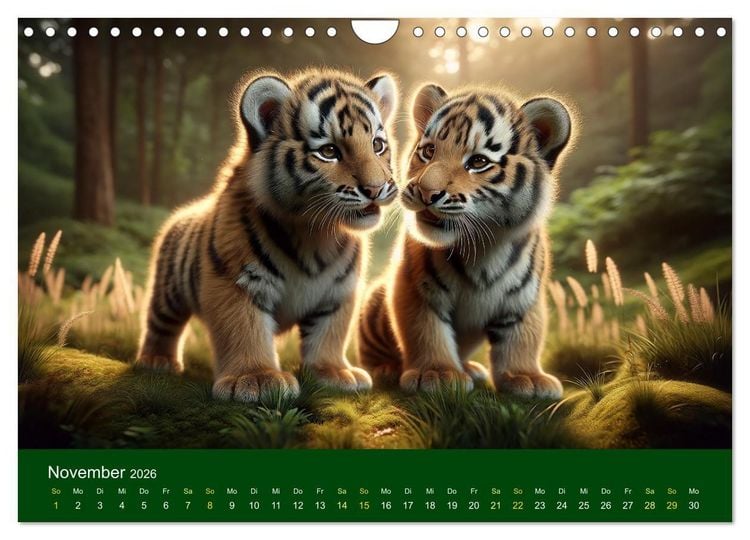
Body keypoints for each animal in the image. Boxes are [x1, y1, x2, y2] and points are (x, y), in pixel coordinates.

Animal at [135, 69, 399, 402]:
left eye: (378, 145)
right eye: (329, 152)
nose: (376, 189)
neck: (316, 232)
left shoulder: (340, 291)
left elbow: (329, 333)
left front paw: (335, 372)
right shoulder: (236, 282)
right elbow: (244, 330)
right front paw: (256, 378)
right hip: (168, 292)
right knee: (161, 323)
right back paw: (157, 361)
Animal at [359, 83, 571, 399]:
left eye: (478, 162)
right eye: (429, 151)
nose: (426, 192)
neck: (482, 247)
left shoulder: (524, 299)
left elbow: (523, 338)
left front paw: (528, 378)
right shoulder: (417, 289)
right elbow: (426, 331)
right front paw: (437, 374)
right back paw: (386, 370)